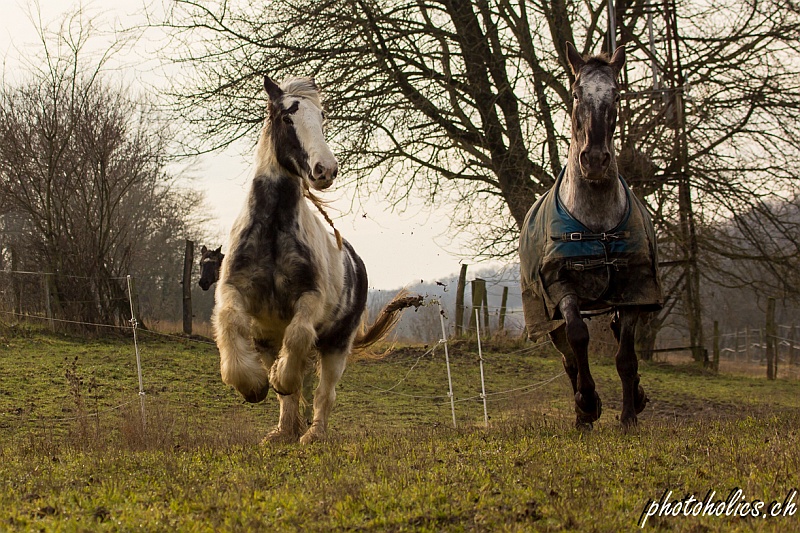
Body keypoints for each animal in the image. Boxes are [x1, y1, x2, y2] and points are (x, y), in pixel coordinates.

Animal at [212, 77, 412, 442]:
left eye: (322, 118)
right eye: (286, 117)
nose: (325, 169)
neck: (272, 231)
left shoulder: (309, 298)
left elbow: (299, 336)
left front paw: (278, 378)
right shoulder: (234, 290)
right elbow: (230, 322)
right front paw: (252, 385)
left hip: (336, 344)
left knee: (323, 392)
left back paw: (313, 433)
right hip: (268, 340)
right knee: (296, 389)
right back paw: (283, 431)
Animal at [520, 43, 664, 430]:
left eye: (615, 94)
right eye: (575, 94)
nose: (596, 160)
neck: (597, 224)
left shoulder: (633, 290)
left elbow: (626, 356)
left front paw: (629, 415)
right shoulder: (562, 288)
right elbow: (578, 338)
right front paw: (587, 404)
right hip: (545, 312)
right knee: (569, 356)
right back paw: (582, 412)